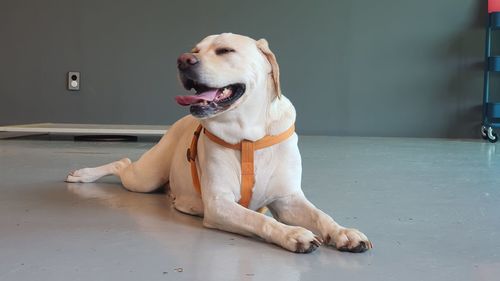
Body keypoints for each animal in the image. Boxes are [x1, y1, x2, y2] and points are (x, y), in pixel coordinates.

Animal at [66, 33, 372, 254]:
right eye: (195, 49)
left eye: (225, 51)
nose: (183, 60)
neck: (249, 136)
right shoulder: (220, 204)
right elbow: (260, 219)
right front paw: (292, 233)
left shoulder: (288, 200)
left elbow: (321, 215)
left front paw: (343, 232)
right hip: (145, 178)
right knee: (123, 163)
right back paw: (82, 174)